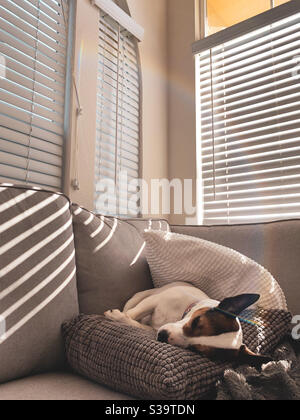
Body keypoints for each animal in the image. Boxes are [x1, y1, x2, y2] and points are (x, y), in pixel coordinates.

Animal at [104, 282, 274, 368]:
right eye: (196, 320)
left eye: (196, 350)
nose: (163, 336)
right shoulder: (155, 301)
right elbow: (134, 313)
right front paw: (118, 315)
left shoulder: (153, 328)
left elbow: (137, 323)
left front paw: (121, 318)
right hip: (145, 294)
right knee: (133, 304)